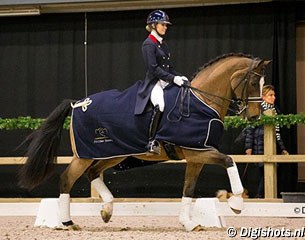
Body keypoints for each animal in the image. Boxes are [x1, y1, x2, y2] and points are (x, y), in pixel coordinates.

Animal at [17, 52, 268, 231]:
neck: (201, 99)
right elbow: (229, 161)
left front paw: (188, 223)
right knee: (67, 179)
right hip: (86, 155)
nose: (255, 117)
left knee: (93, 173)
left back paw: (107, 210)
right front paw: (237, 204)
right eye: (253, 82)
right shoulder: (198, 152)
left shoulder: (196, 156)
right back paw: (68, 222)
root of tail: (78, 103)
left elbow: (188, 189)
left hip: (113, 153)